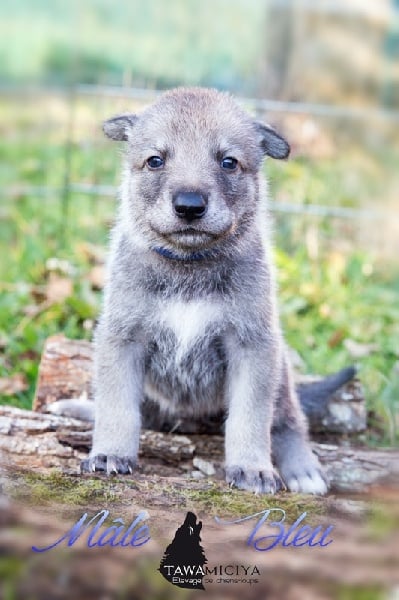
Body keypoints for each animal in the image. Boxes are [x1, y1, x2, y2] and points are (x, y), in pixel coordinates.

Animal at [83, 86, 330, 494]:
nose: (189, 206)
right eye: (155, 160)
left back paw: (303, 470)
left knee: (289, 421)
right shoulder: (122, 338)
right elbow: (117, 406)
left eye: (229, 162)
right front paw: (110, 452)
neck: (189, 268)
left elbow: (250, 417)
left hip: (280, 371)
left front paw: (252, 468)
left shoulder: (252, 344)